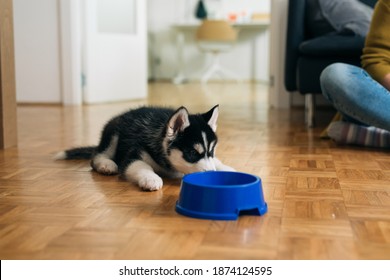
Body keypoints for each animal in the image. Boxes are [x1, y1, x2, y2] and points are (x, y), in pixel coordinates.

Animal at [54, 105, 235, 190]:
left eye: (211, 151)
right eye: (191, 153)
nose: (211, 174)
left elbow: (217, 162)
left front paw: (227, 168)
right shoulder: (134, 155)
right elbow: (141, 166)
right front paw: (151, 178)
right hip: (113, 132)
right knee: (98, 155)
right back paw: (106, 164)